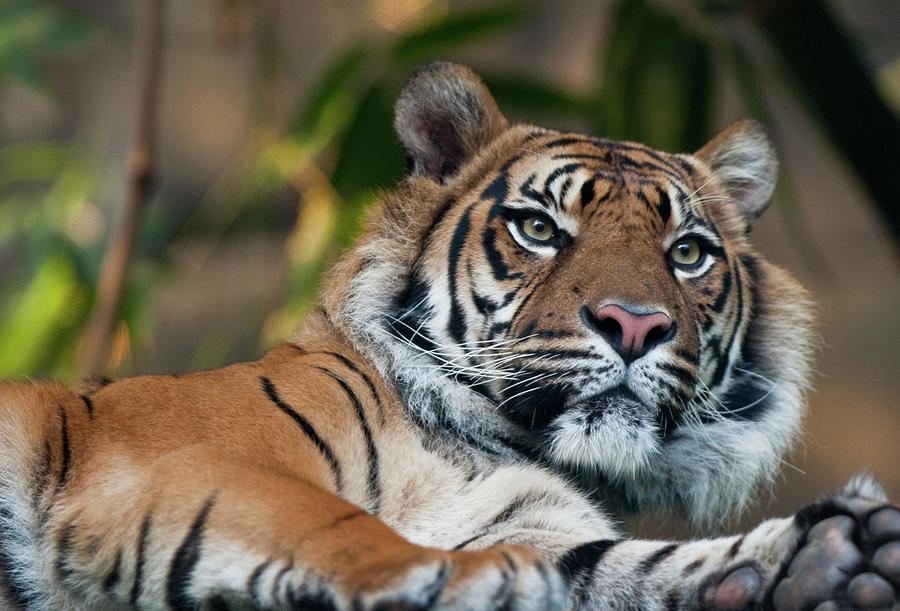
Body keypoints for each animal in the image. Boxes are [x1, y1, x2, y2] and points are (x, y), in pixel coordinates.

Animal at [1, 58, 900, 611]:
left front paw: (829, 556)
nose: (636, 323)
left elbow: (626, 566)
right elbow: (337, 521)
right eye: (539, 228)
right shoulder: (198, 456)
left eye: (687, 253)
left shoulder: (536, 524)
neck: (469, 442)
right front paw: (467, 581)